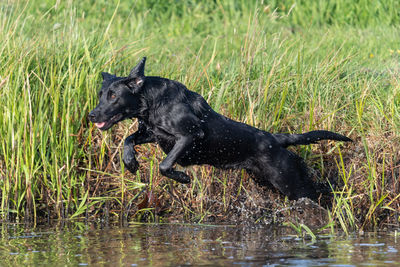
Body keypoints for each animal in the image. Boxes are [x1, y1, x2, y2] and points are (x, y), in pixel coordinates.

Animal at [89, 57, 352, 200]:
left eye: (113, 96)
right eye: (101, 94)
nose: (92, 115)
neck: (153, 102)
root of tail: (276, 139)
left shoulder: (190, 135)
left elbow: (165, 165)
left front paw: (182, 177)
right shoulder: (152, 133)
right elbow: (129, 139)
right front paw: (130, 162)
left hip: (290, 182)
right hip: (266, 180)